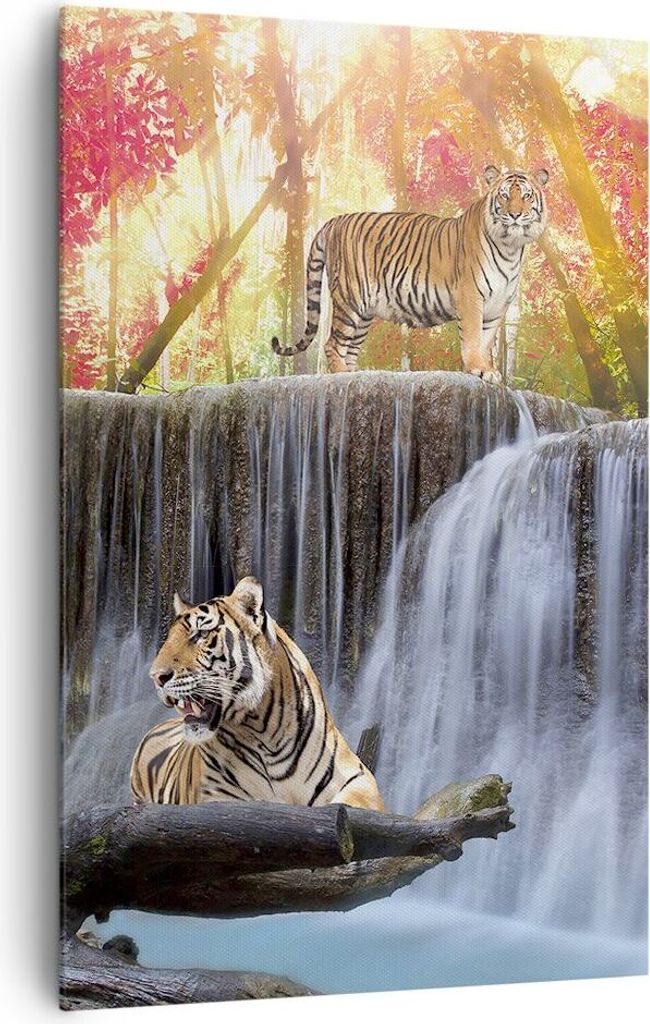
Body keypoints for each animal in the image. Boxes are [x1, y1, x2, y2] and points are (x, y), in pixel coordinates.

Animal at [130, 577, 385, 811]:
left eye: (201, 634)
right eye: (168, 639)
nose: (155, 676)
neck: (265, 733)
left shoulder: (359, 779)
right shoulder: (217, 796)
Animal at [271, 165, 549, 383]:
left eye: (526, 195)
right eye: (504, 195)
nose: (515, 215)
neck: (511, 247)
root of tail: (332, 222)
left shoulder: (497, 306)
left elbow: (485, 341)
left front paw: (487, 369)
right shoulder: (471, 296)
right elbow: (472, 337)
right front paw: (478, 369)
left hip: (364, 313)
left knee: (349, 349)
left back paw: (356, 376)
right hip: (350, 300)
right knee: (333, 343)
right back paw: (341, 377)